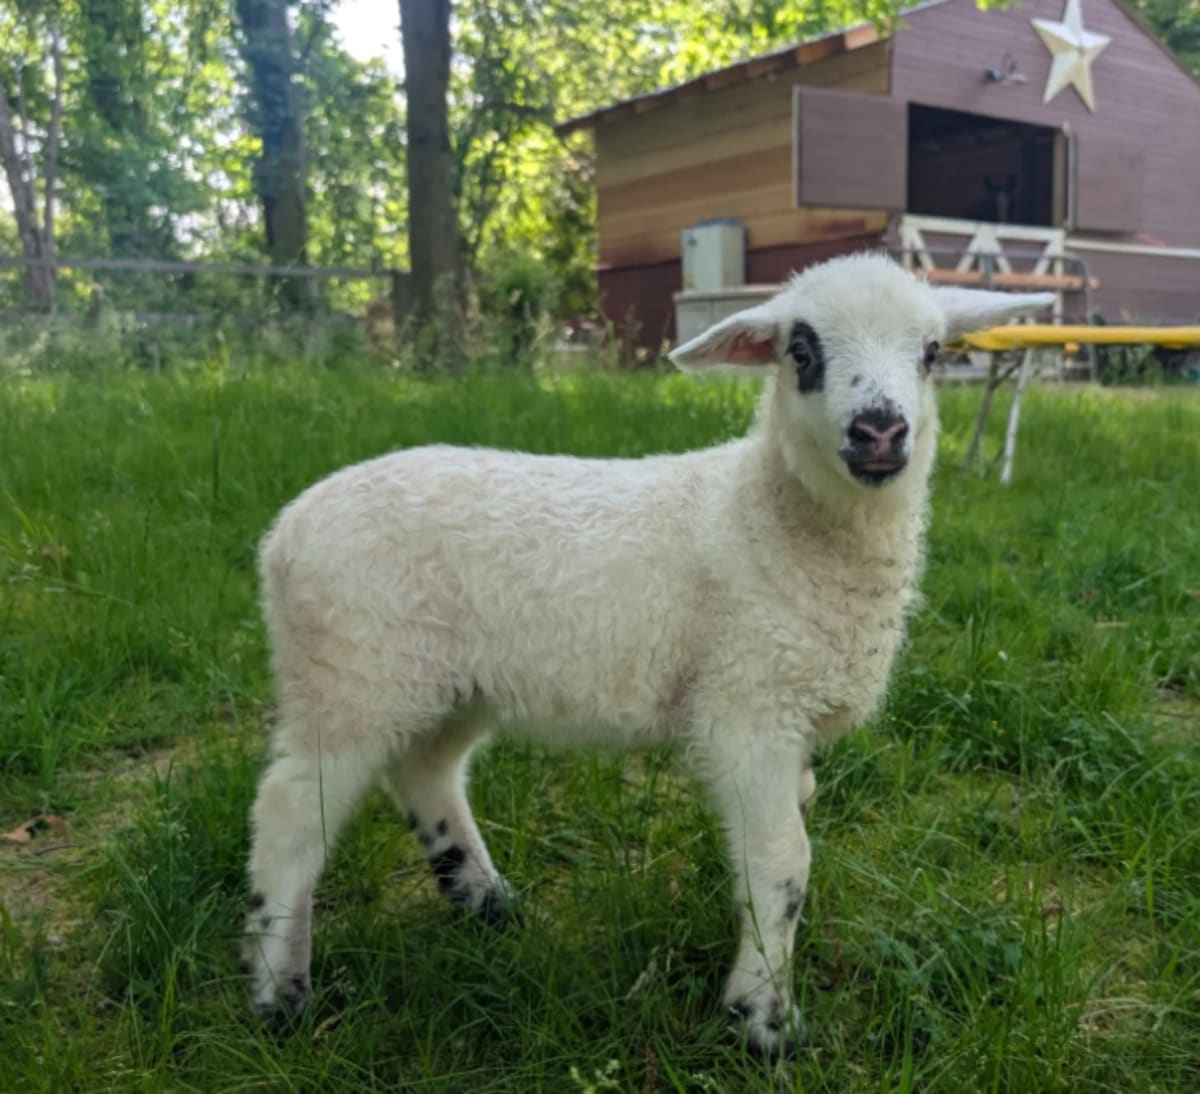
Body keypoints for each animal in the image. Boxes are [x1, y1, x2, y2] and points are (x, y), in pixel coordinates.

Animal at [242, 253, 1053, 1056]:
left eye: (932, 352)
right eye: (801, 351)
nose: (880, 432)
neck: (770, 515)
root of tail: (282, 532)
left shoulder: (787, 713)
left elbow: (781, 843)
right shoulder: (748, 707)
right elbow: (784, 861)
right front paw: (764, 1020)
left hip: (441, 681)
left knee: (426, 773)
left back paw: (486, 901)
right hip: (349, 672)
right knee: (291, 813)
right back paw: (279, 993)